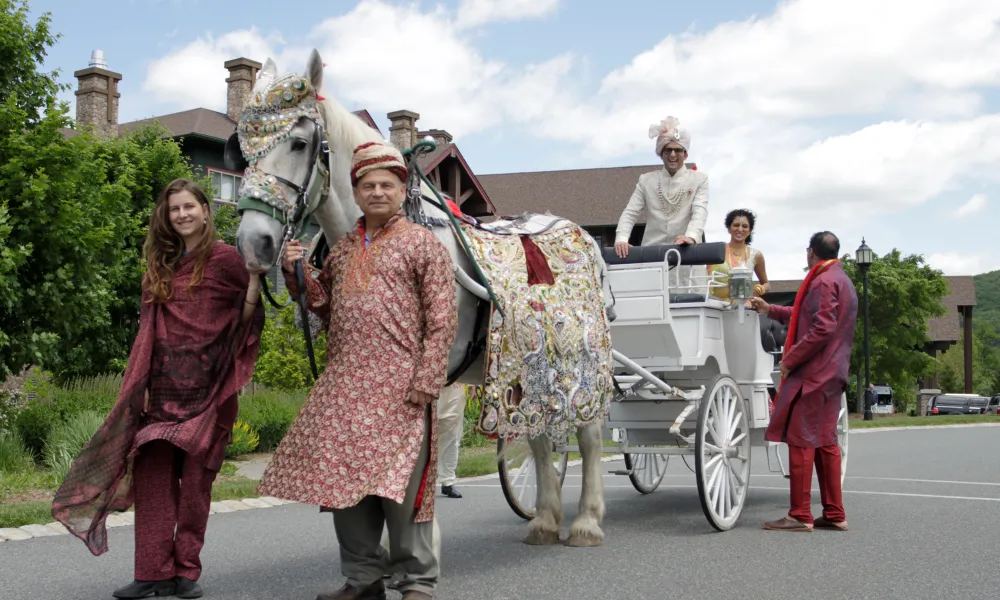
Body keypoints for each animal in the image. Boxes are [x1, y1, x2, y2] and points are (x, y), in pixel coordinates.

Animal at [232, 50, 608, 548]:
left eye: (297, 142)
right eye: (241, 150)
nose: (253, 244)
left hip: (579, 364)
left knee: (589, 435)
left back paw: (586, 521)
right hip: (530, 373)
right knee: (541, 437)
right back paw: (545, 519)